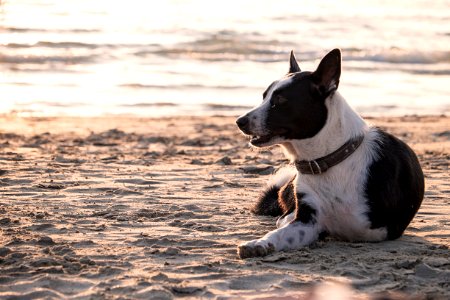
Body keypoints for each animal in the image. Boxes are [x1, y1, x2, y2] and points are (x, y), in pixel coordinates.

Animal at [237, 48, 424, 258]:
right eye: (264, 97)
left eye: (280, 100)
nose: (239, 121)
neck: (326, 160)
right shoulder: (307, 221)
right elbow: (279, 233)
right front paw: (259, 243)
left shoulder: (376, 229)